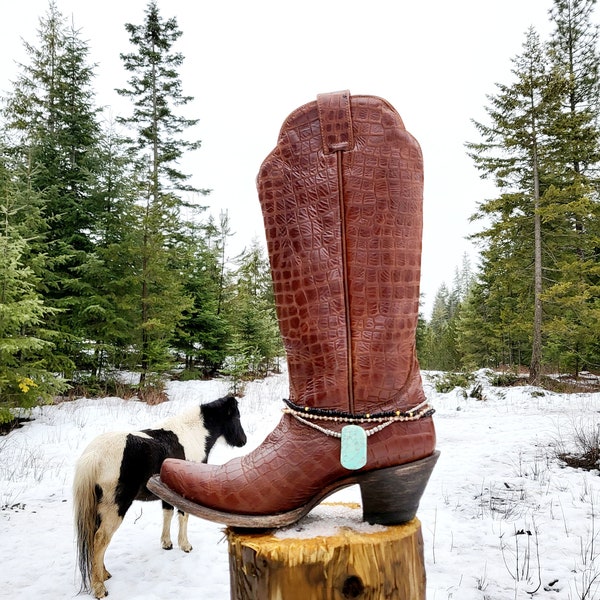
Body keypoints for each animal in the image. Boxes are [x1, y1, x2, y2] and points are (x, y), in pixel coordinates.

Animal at [73, 396, 246, 596]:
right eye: (237, 417)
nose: (243, 441)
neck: (192, 433)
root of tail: (94, 455)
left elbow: (167, 514)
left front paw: (167, 543)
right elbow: (183, 516)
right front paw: (185, 545)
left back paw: (104, 574)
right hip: (115, 507)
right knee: (100, 539)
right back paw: (100, 588)